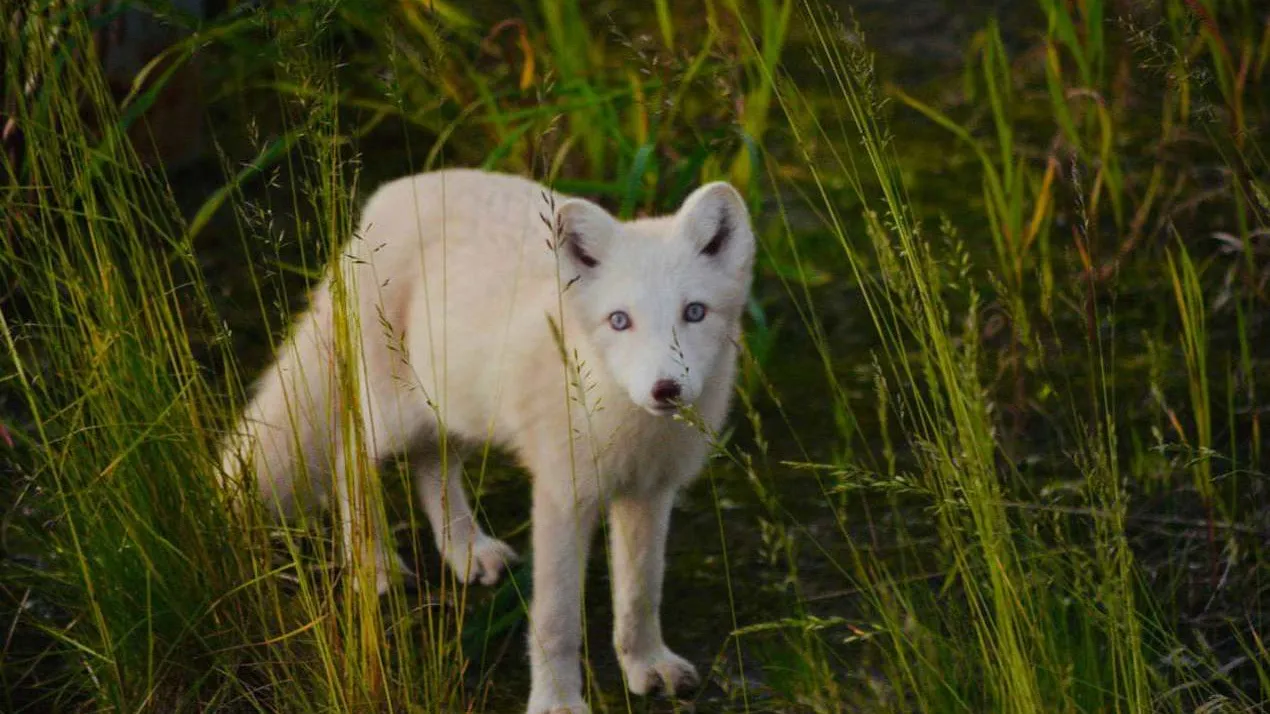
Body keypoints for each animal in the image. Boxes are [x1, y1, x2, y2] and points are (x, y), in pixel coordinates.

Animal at [218, 167, 751, 711]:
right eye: (619, 320)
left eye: (694, 312)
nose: (666, 388)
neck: (628, 422)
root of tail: (393, 193)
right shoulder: (563, 495)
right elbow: (556, 621)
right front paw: (557, 701)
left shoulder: (650, 494)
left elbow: (641, 594)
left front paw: (646, 665)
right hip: (394, 416)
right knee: (350, 457)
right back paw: (374, 565)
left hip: (459, 414)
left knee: (431, 468)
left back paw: (467, 551)